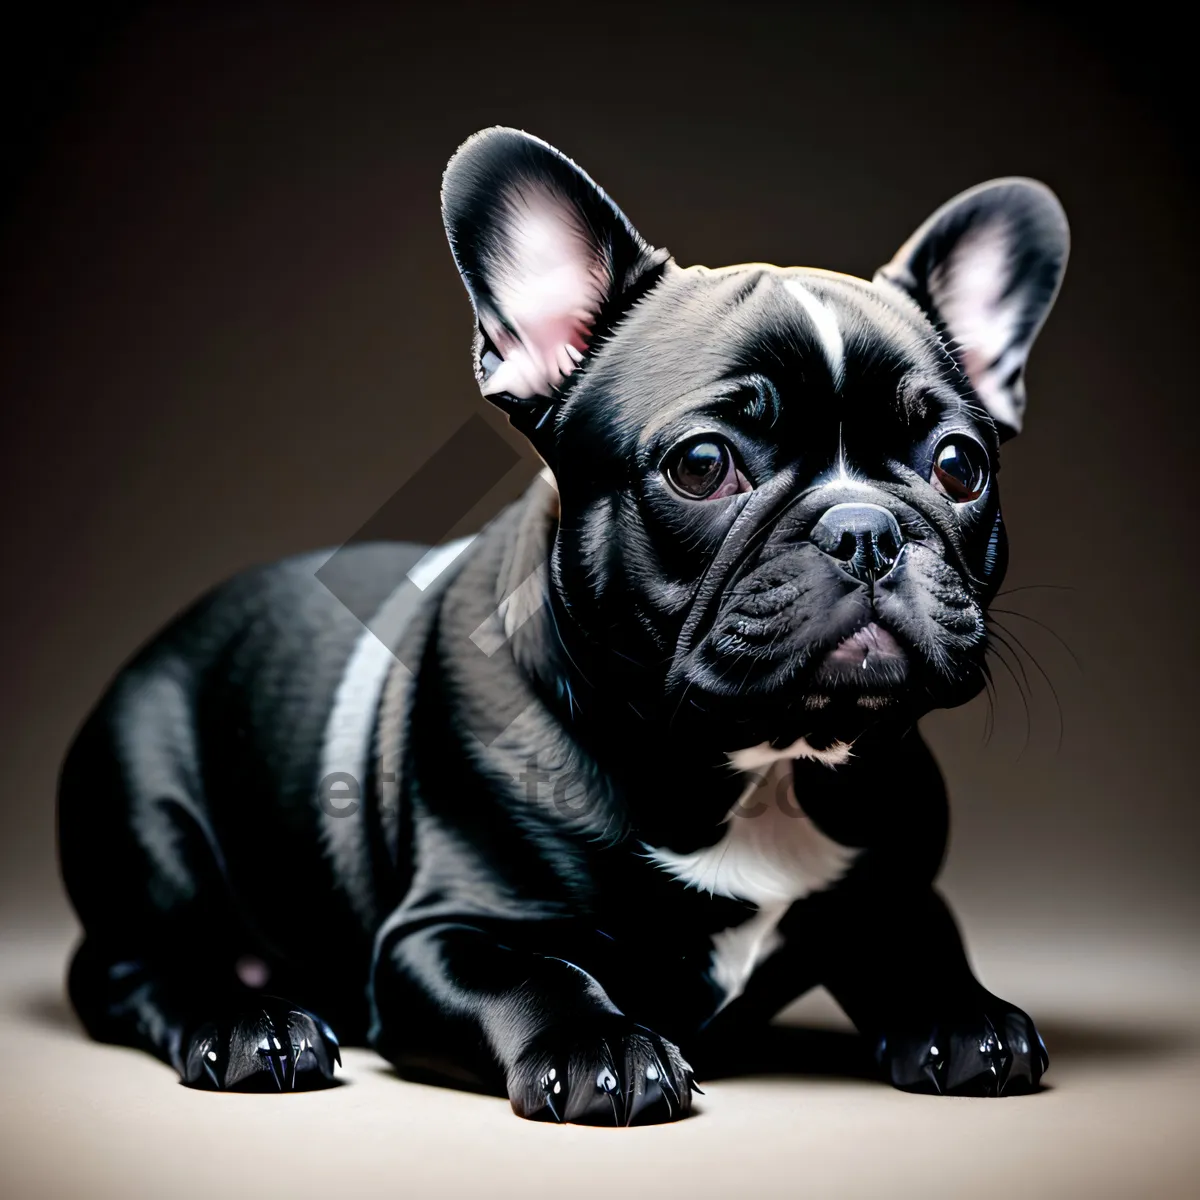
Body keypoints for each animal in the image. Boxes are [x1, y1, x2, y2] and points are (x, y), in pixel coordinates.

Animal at [56, 126, 1070, 1118]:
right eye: (703, 464)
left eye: (961, 466)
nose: (866, 529)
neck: (761, 763)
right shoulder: (442, 933)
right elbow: (537, 975)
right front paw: (600, 1046)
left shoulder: (900, 891)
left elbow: (920, 944)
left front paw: (965, 1015)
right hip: (153, 827)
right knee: (133, 967)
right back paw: (250, 1024)